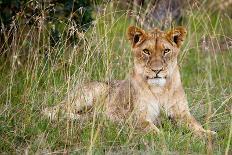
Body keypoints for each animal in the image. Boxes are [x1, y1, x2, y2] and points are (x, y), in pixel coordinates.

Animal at [43, 25, 216, 136]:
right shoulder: (137, 116)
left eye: (166, 51)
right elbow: (153, 130)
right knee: (52, 110)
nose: (157, 70)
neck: (160, 90)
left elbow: (195, 124)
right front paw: (166, 137)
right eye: (146, 51)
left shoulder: (182, 113)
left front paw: (208, 133)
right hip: (93, 91)